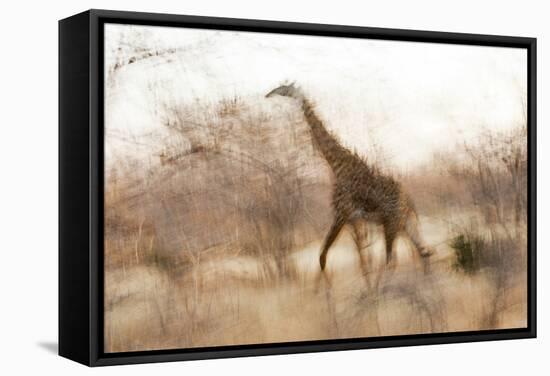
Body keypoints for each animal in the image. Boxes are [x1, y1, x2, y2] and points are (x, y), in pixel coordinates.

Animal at [268, 83, 436, 276]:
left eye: (282, 88)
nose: (267, 94)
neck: (337, 166)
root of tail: (409, 201)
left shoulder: (341, 213)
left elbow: (322, 257)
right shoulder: (351, 219)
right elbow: (345, 257)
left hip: (392, 223)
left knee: (395, 259)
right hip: (405, 224)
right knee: (423, 252)